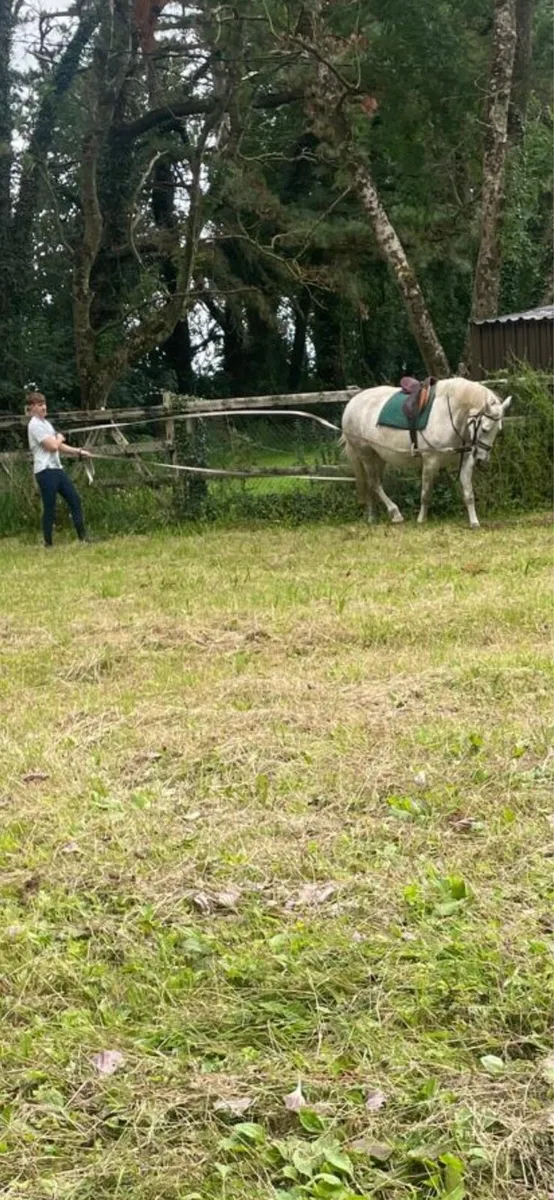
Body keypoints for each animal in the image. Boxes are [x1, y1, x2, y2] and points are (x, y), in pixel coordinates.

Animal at [341, 377, 512, 528]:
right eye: (485, 429)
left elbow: (469, 493)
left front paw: (474, 522)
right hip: (366, 454)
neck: (448, 415)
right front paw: (421, 520)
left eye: (498, 430)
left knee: (371, 485)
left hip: (378, 457)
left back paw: (372, 517)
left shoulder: (465, 461)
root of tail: (352, 403)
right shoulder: (430, 461)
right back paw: (395, 513)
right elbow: (426, 494)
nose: (482, 458)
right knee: (374, 483)